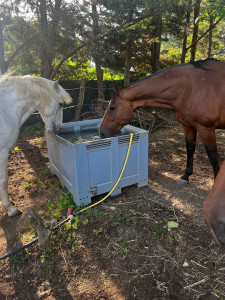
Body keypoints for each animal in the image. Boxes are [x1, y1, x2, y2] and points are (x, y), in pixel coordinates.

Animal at [0, 74, 72, 216]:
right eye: (61, 104)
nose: (58, 130)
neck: (6, 110)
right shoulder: (2, 152)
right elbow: (4, 181)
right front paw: (10, 209)